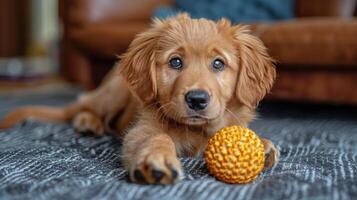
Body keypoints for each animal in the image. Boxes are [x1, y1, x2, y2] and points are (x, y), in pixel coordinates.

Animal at [0, 14, 278, 185]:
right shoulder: (142, 128)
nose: (197, 99)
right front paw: (155, 158)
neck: (195, 130)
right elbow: (157, 137)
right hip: (113, 92)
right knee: (83, 103)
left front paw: (263, 144)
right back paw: (88, 123)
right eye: (175, 62)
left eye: (218, 64)